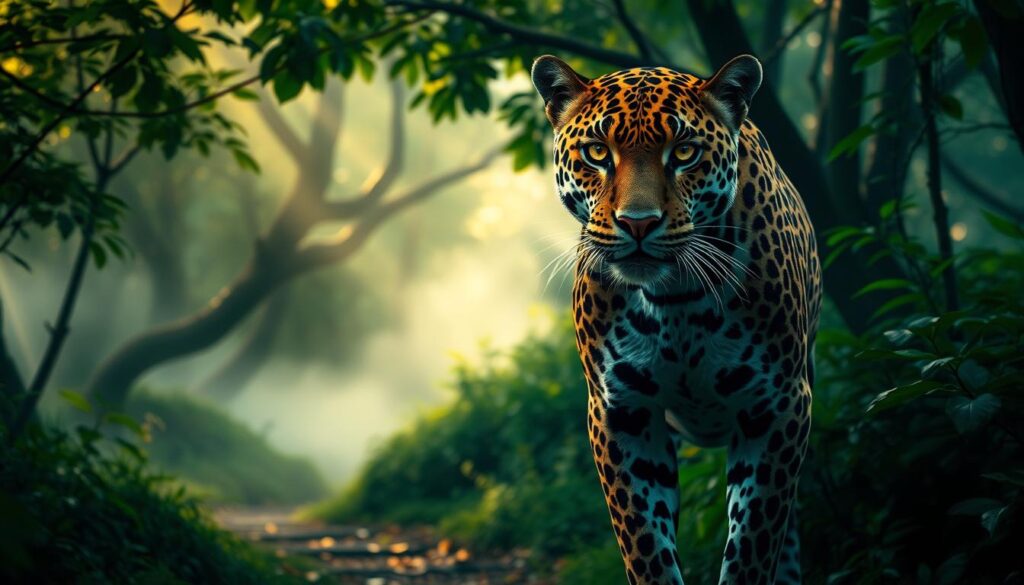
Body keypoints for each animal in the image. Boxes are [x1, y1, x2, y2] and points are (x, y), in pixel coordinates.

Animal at [530, 54, 821, 585]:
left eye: (684, 152)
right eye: (597, 152)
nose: (638, 222)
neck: (677, 299)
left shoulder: (778, 406)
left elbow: (753, 543)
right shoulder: (621, 412)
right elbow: (646, 546)